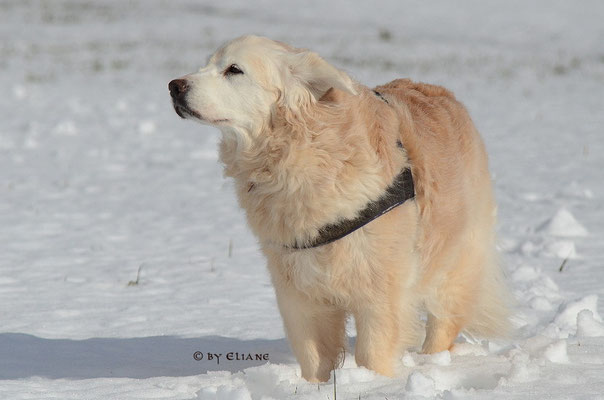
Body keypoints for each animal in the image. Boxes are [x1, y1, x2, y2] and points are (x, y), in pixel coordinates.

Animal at [169, 36, 510, 382]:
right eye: (206, 64)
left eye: (234, 70)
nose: (174, 86)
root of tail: (444, 93)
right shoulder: (298, 294)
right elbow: (313, 357)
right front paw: (315, 386)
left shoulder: (380, 291)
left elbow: (372, 353)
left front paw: (374, 384)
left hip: (453, 261)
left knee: (444, 320)